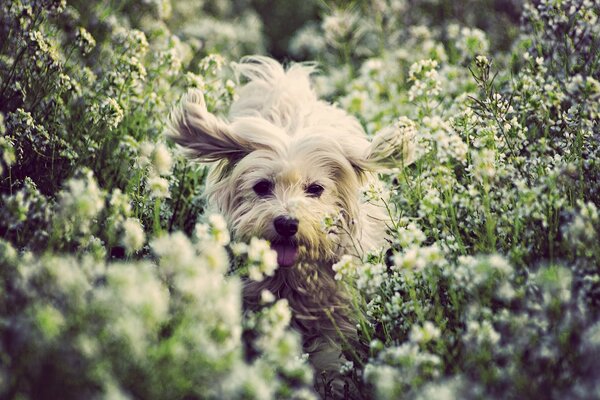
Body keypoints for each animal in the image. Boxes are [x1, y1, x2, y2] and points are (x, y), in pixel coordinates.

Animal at [169, 55, 412, 396]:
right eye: (261, 187)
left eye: (316, 189)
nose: (286, 223)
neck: (290, 278)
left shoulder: (337, 313)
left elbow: (330, 359)